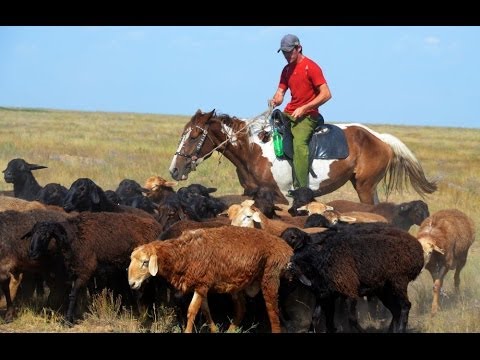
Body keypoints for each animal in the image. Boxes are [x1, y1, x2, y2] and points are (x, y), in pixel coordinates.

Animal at [127, 226, 292, 334]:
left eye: (145, 262)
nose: (132, 283)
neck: (183, 254)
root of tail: (286, 248)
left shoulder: (201, 285)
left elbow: (192, 311)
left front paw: (187, 331)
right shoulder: (202, 285)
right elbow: (205, 310)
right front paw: (214, 329)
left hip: (270, 277)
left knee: (273, 312)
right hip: (238, 284)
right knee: (242, 308)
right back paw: (231, 330)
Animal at [170, 109, 438, 205]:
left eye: (194, 136)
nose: (174, 169)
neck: (253, 148)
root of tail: (379, 138)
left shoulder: (281, 195)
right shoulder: (250, 192)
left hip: (364, 187)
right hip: (367, 187)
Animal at [284, 224, 424, 334]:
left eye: (292, 238)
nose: (289, 264)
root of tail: (419, 250)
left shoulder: (349, 292)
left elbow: (351, 319)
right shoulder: (324, 295)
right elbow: (315, 317)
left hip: (398, 282)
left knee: (406, 306)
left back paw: (401, 329)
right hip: (384, 290)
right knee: (396, 310)